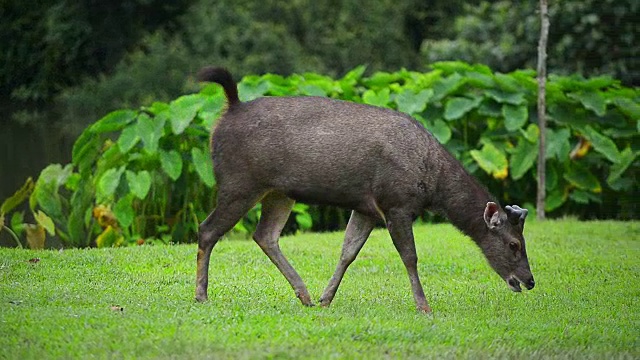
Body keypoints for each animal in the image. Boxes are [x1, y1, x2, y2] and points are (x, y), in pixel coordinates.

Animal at [195, 67, 536, 312]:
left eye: (523, 242)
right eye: (513, 244)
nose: (530, 281)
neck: (432, 187)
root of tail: (229, 108)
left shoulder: (366, 208)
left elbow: (348, 252)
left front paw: (326, 298)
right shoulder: (395, 202)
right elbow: (410, 256)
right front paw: (423, 306)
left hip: (280, 192)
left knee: (264, 235)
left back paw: (304, 294)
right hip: (239, 182)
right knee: (208, 229)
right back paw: (201, 294)